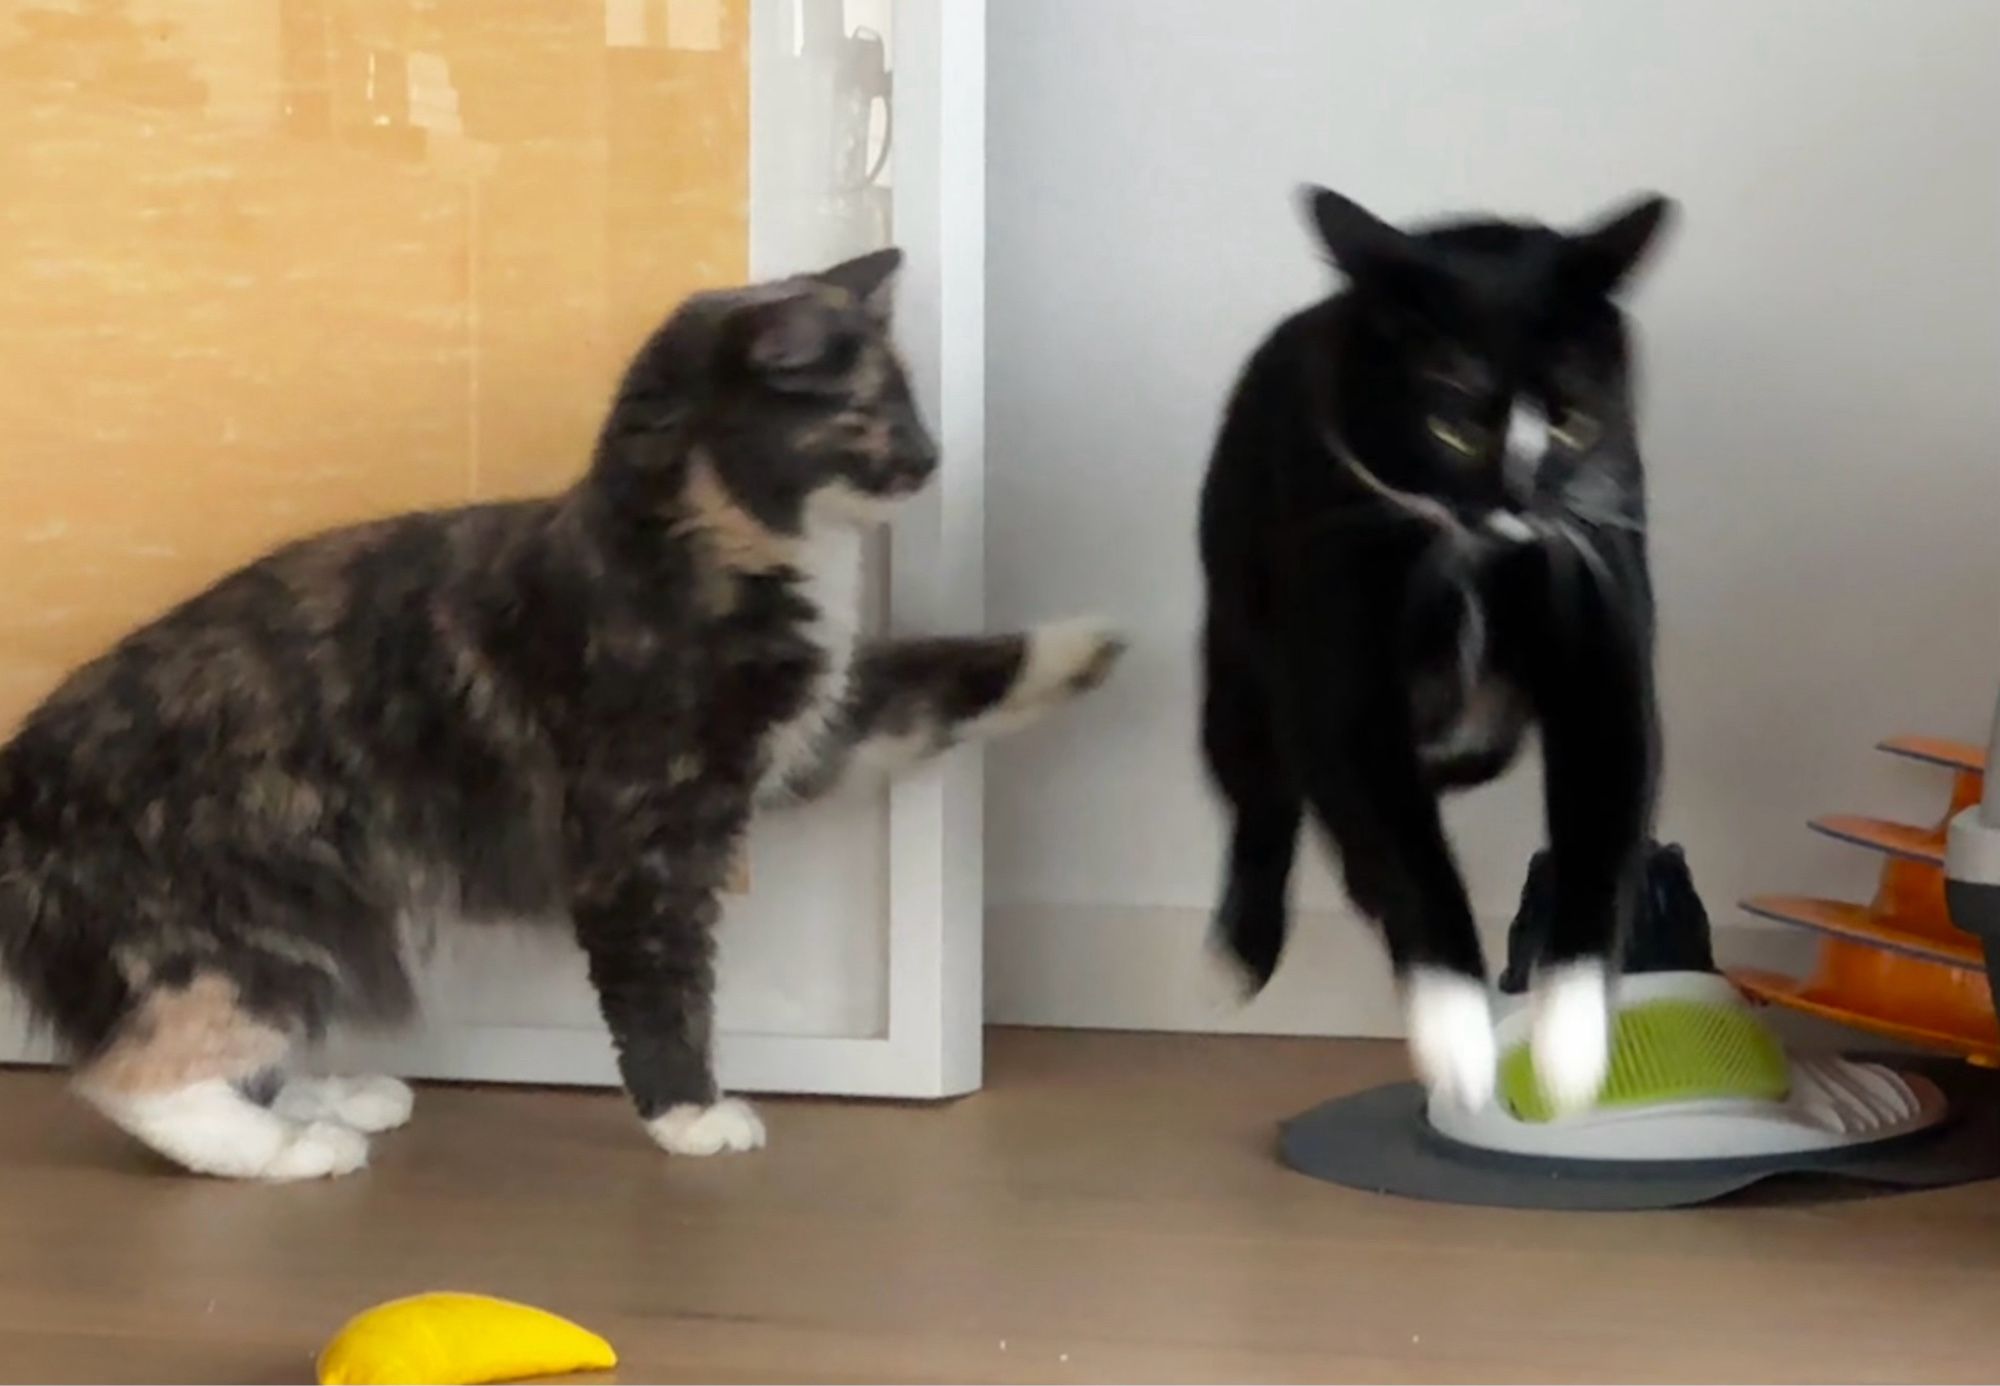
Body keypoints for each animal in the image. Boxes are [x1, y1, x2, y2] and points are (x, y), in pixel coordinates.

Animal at [0, 251, 1128, 1176]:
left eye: (912, 404)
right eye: (869, 413)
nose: (930, 458)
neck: (691, 539)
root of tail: (22, 777)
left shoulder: (818, 729)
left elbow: (945, 677)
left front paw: (1095, 641)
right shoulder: (642, 837)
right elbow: (662, 988)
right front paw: (689, 1116)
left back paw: (332, 1100)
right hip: (273, 913)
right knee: (134, 1072)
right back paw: (291, 1150)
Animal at [1200, 187, 1672, 1112]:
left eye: (1572, 421)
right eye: (1452, 425)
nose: (1520, 499)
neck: (1480, 563)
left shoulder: (1603, 623)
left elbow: (1602, 834)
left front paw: (1570, 1047)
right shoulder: (1339, 669)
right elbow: (1406, 855)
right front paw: (1457, 1038)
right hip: (1237, 649)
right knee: (1263, 790)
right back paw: (1245, 947)